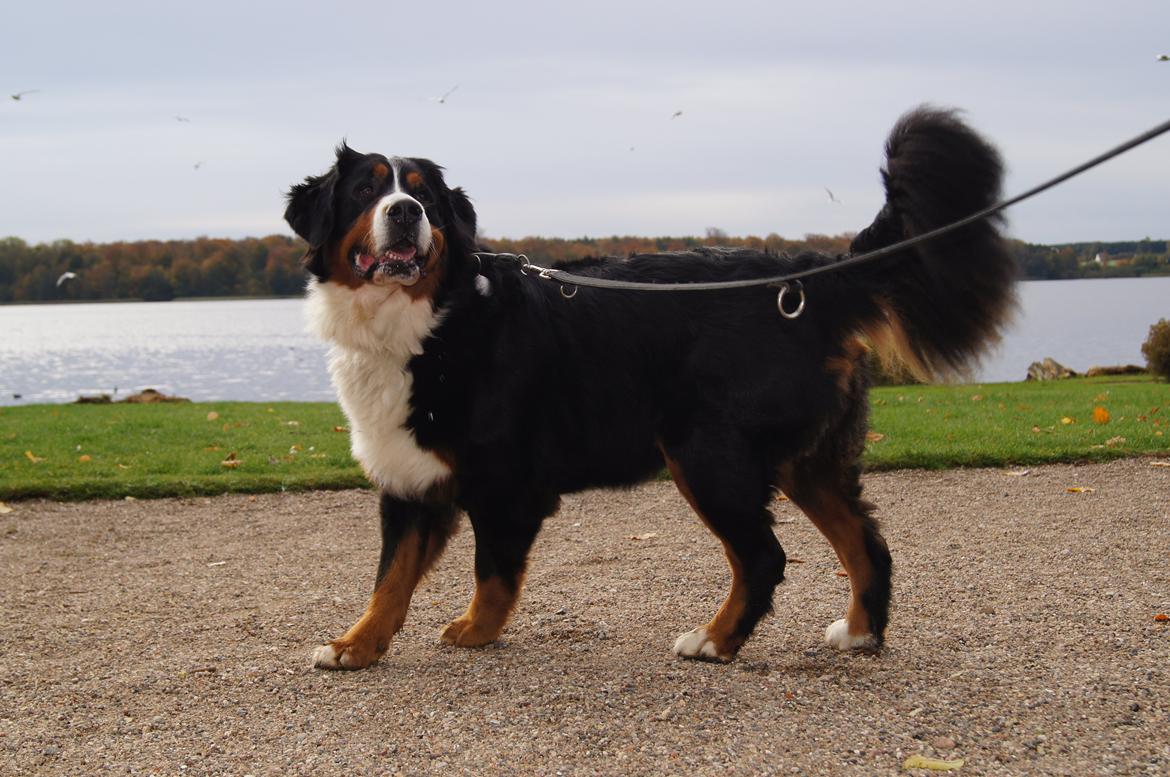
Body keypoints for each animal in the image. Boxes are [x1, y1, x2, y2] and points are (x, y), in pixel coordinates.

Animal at [283, 106, 1015, 669]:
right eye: (366, 192)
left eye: (424, 197)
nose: (406, 213)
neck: (429, 321)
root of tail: (807, 278)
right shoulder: (409, 479)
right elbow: (389, 579)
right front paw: (356, 646)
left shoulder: (504, 481)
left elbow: (491, 574)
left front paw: (473, 630)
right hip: (806, 460)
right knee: (866, 543)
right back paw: (860, 632)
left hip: (707, 453)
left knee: (764, 556)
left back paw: (716, 641)